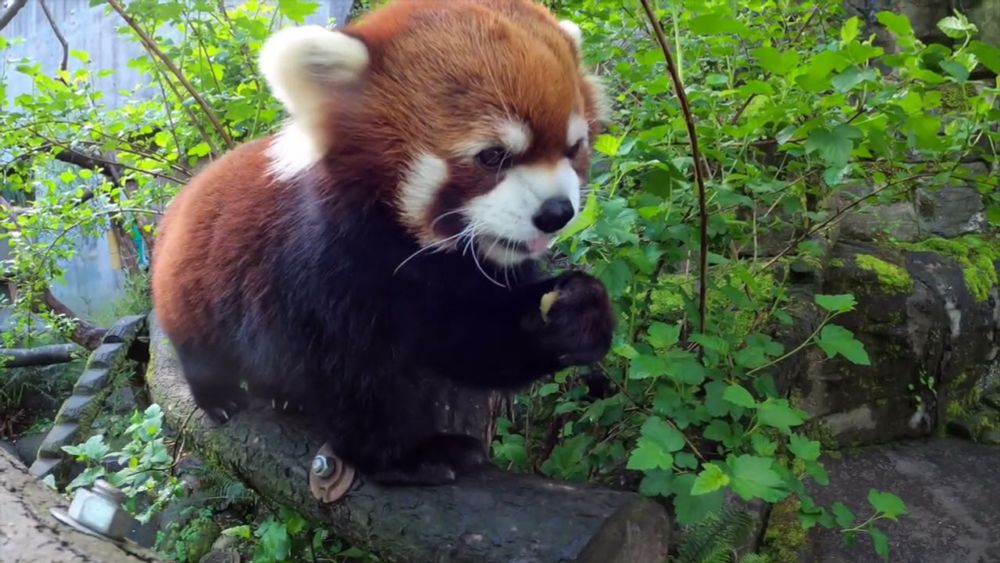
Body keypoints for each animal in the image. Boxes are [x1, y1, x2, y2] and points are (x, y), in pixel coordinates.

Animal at [151, 0, 612, 484]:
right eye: (492, 156)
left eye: (573, 148)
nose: (557, 212)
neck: (421, 255)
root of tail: (189, 192)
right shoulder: (321, 273)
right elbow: (355, 380)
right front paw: (412, 454)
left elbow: (474, 341)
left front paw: (574, 314)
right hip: (190, 290)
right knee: (201, 350)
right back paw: (218, 396)